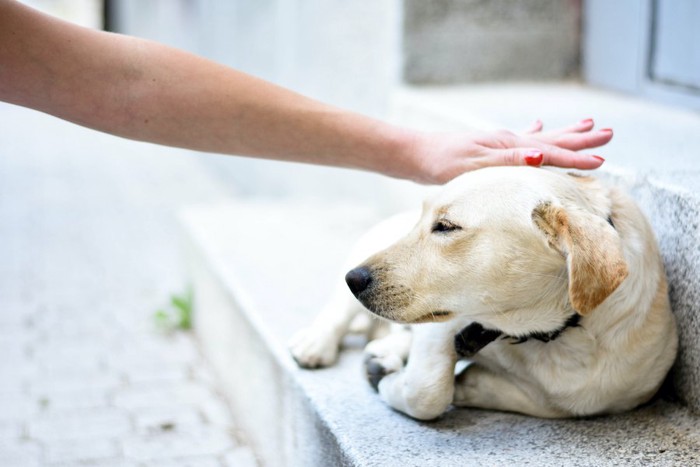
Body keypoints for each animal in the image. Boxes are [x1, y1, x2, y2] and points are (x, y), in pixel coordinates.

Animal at [290, 167, 680, 420]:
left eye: (446, 227)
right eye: (424, 219)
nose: (354, 279)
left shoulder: (594, 395)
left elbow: (553, 400)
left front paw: (467, 385)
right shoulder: (444, 324)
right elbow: (427, 392)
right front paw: (392, 385)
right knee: (339, 311)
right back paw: (317, 344)